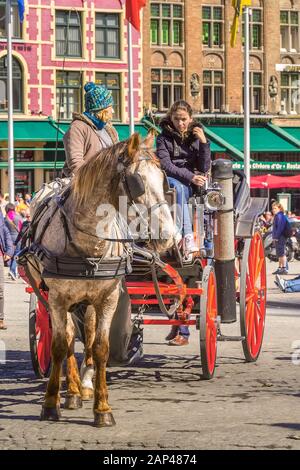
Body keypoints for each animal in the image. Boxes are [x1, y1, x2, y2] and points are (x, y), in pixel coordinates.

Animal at [25, 132, 176, 426]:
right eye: (138, 182)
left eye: (163, 179)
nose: (169, 236)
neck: (89, 243)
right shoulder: (57, 298)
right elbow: (59, 346)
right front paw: (50, 404)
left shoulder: (108, 297)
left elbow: (101, 347)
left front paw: (102, 408)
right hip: (48, 294)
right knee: (68, 336)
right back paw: (71, 390)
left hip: (88, 301)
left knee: (88, 333)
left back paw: (82, 386)